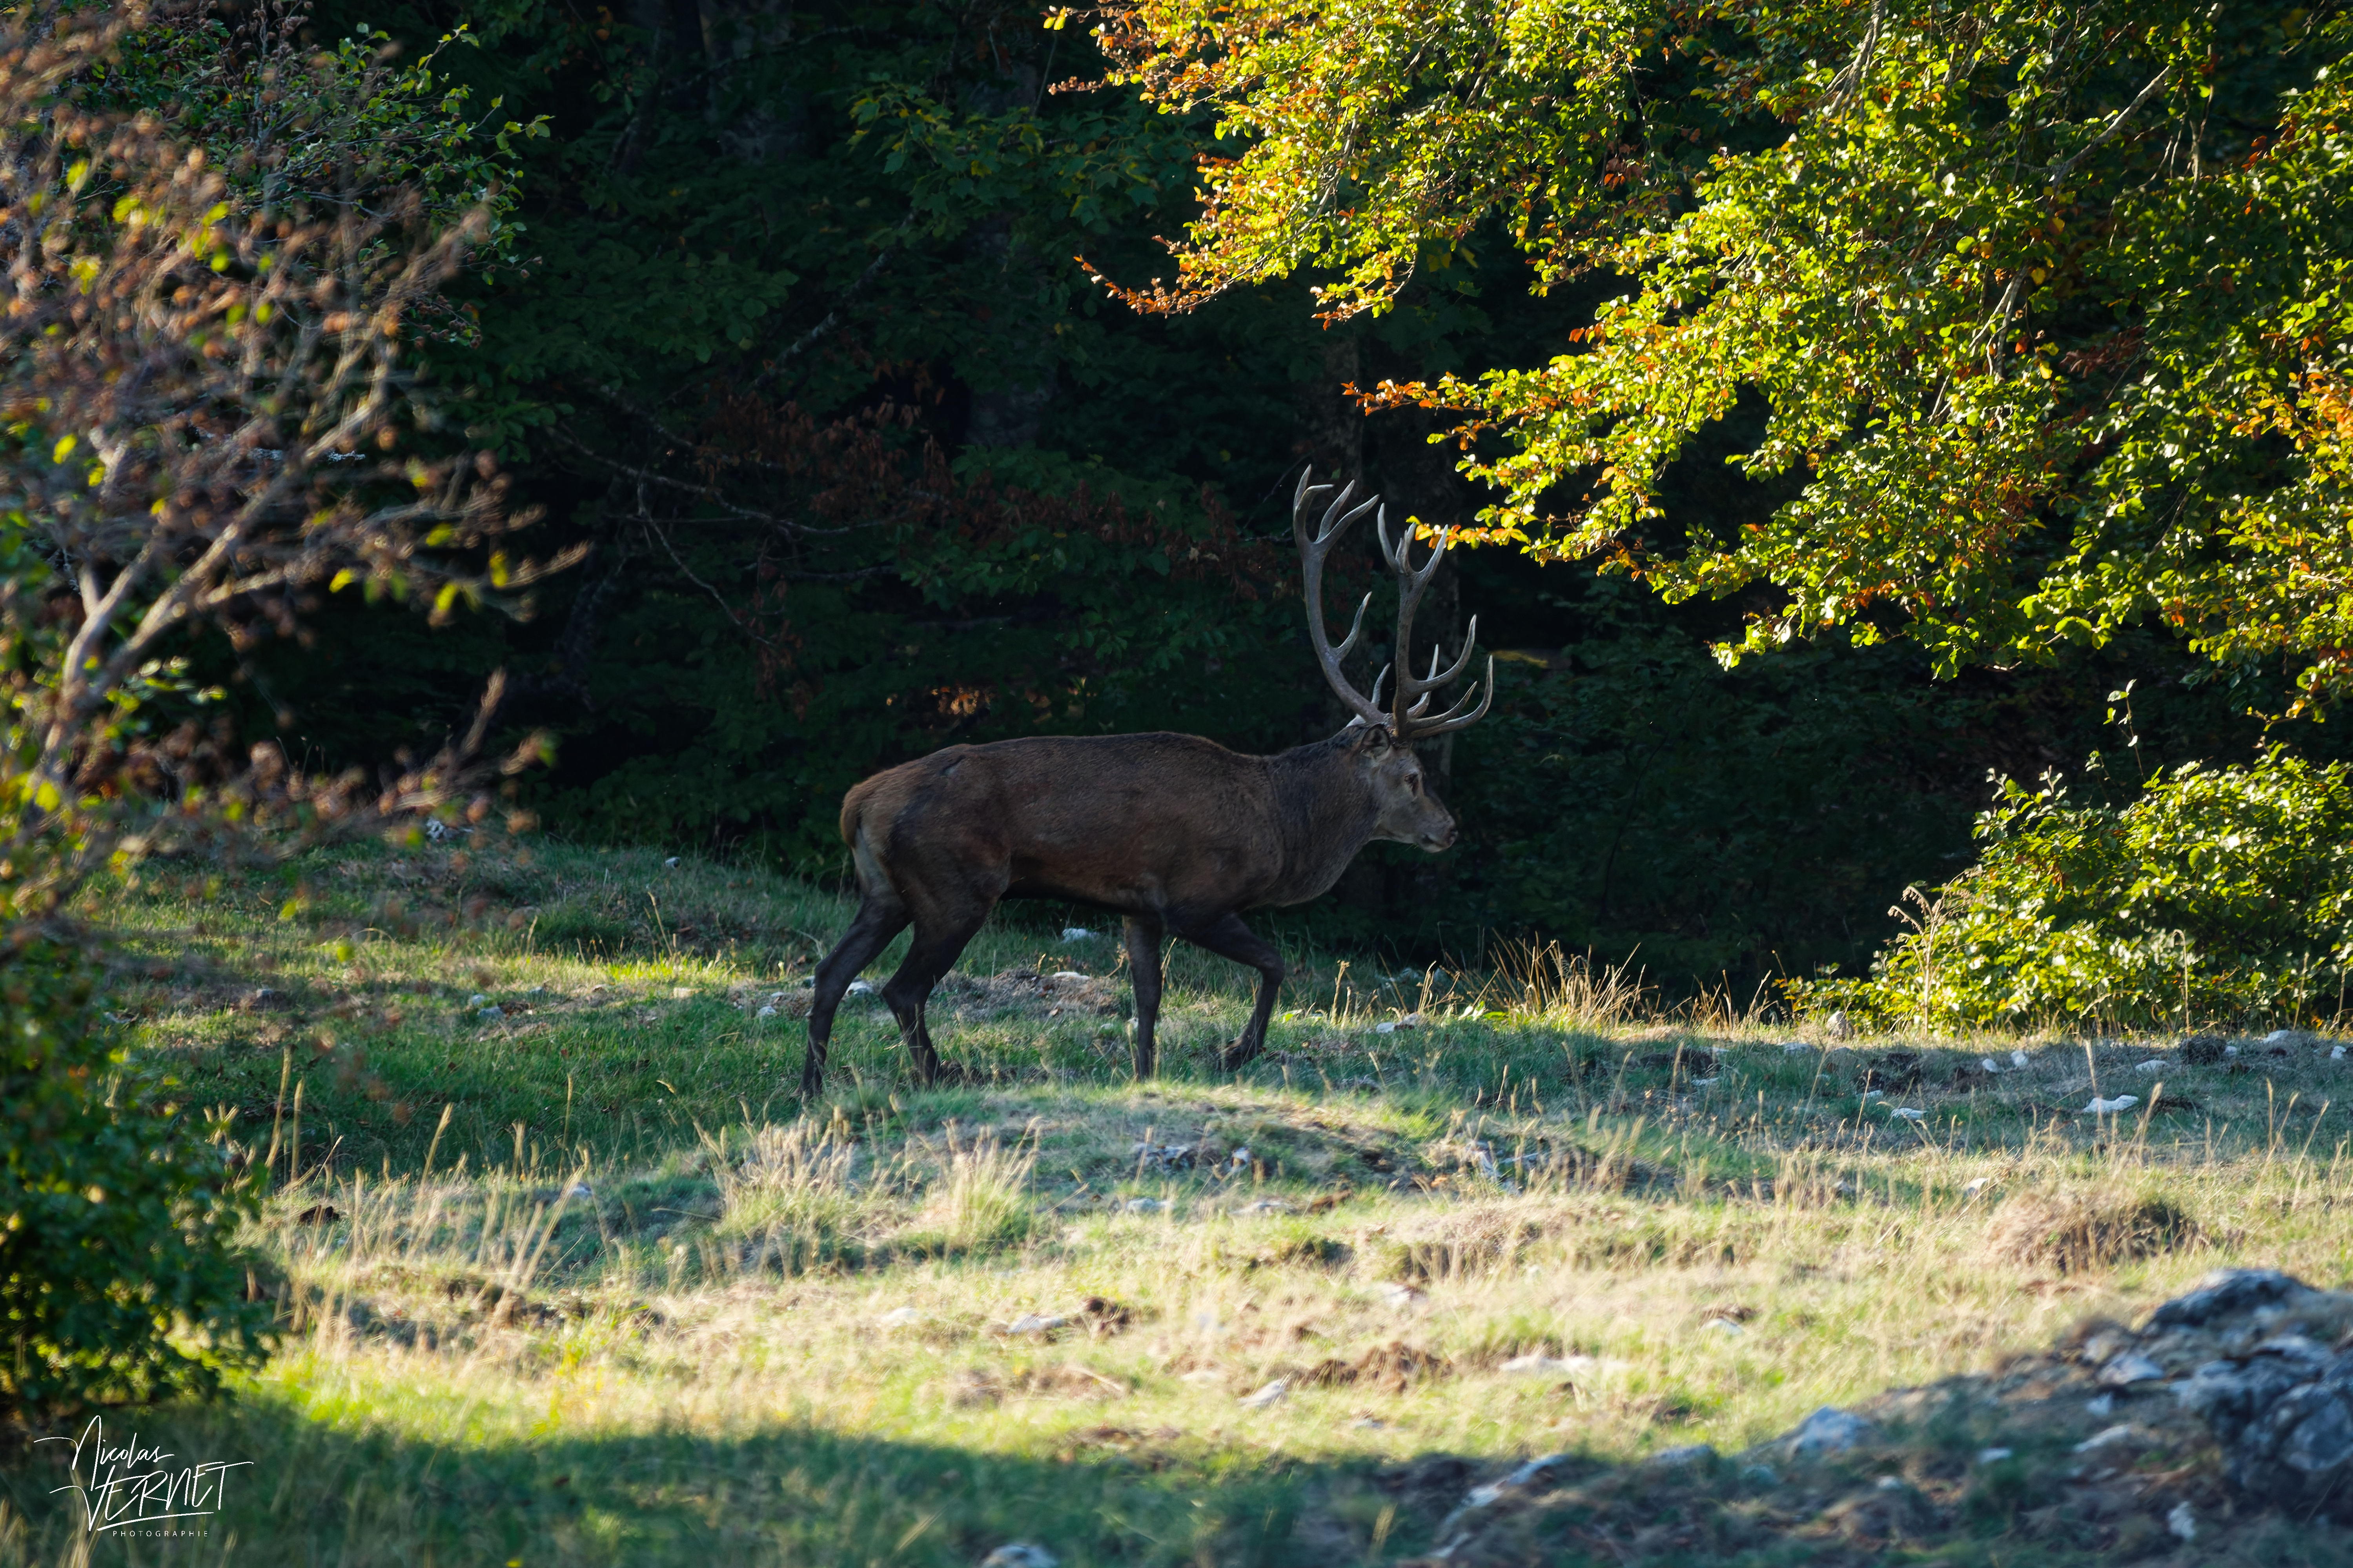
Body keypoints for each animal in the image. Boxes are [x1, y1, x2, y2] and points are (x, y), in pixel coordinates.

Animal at [796, 469, 1495, 1096]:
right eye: (1413, 777)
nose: (1450, 829)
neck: (1281, 827)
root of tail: (858, 802)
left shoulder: (1138, 908)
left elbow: (1148, 1000)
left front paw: (1144, 1074)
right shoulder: (1197, 898)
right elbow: (1275, 962)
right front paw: (1236, 1052)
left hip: (884, 889)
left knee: (831, 973)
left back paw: (813, 1087)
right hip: (955, 885)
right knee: (901, 987)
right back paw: (936, 1076)